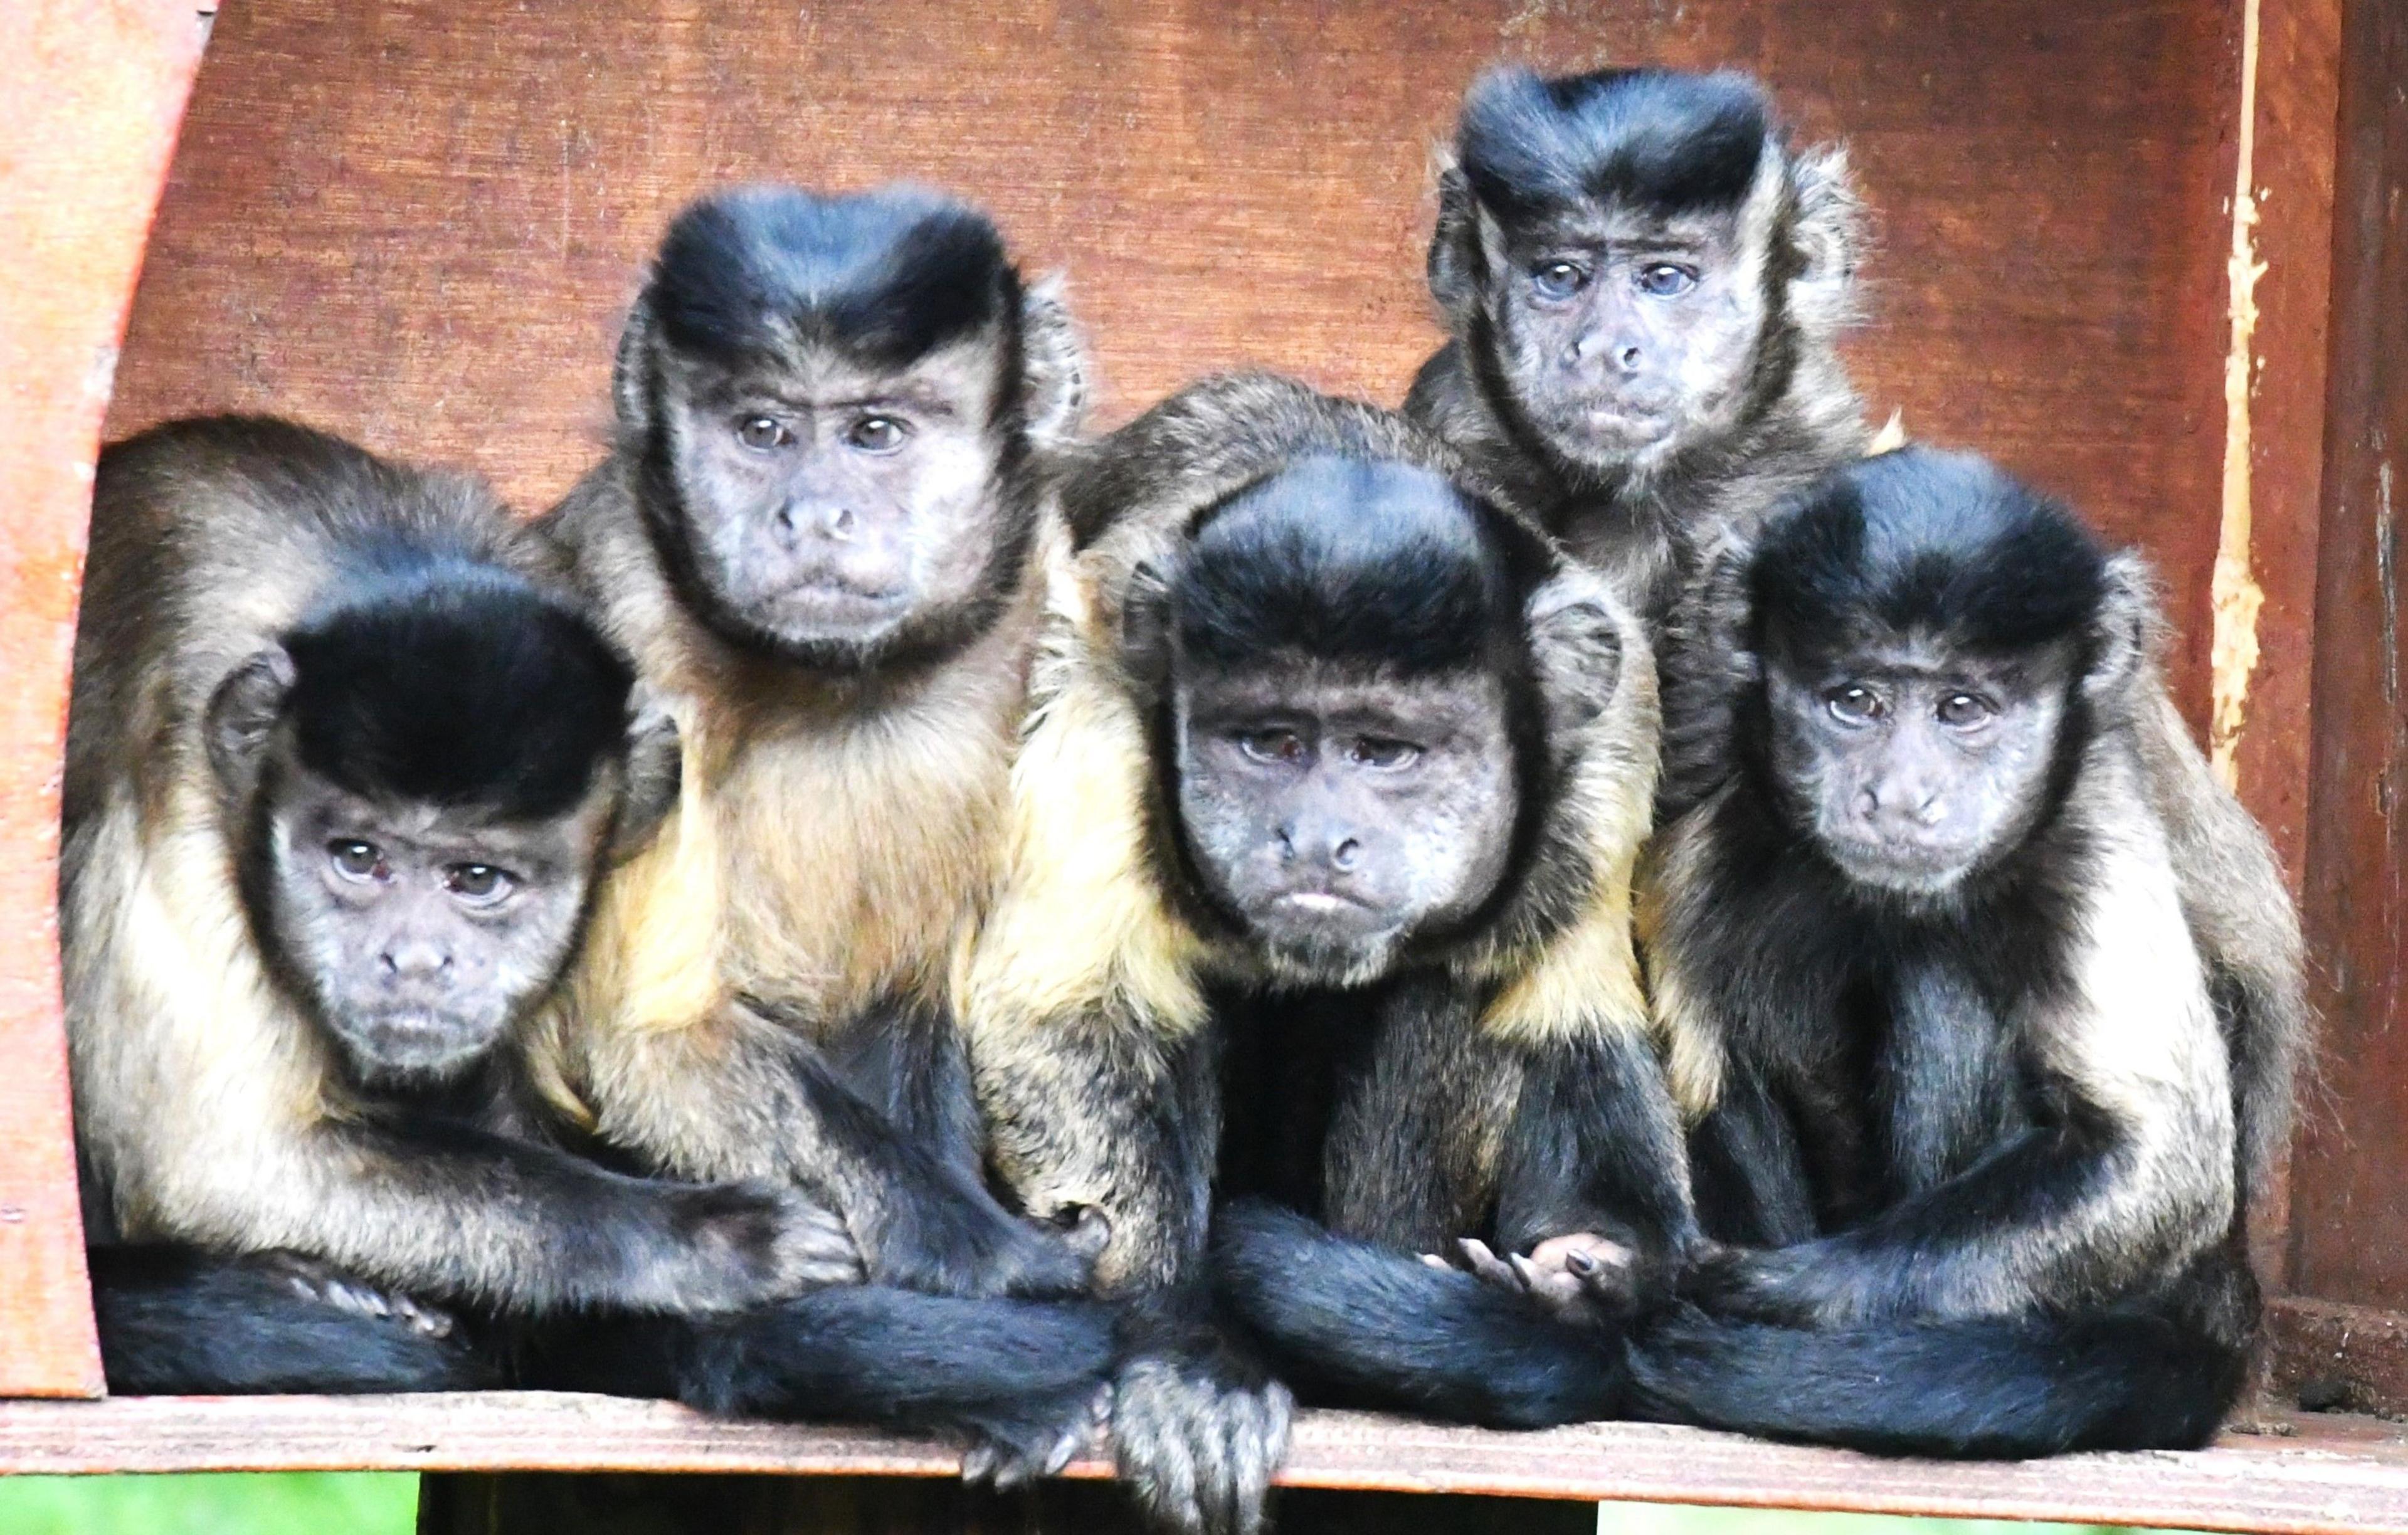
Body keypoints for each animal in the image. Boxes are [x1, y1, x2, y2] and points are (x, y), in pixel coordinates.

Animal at [517, 186, 1117, 1482]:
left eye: (875, 432)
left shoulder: (1039, 611)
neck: (842, 680)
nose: (813, 512)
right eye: (763, 430)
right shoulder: (625, 633)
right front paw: (988, 1261)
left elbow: (925, 992)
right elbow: (656, 1045)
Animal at [963, 375, 1695, 1530]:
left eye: (1383, 751)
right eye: (1269, 741)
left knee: (1446, 984)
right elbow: (1073, 1019)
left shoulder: (1604, 750)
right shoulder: (1098, 689)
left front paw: (1603, 1266)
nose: (1316, 837)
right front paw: (1181, 1350)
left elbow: (1561, 1016)